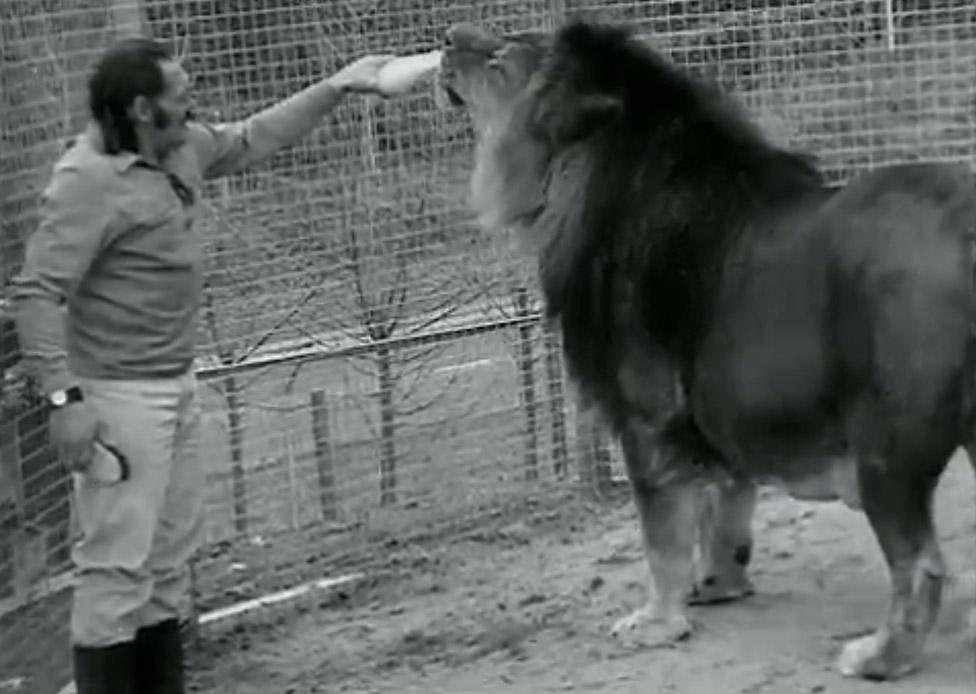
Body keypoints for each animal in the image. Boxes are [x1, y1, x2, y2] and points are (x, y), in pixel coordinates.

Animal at [438, 17, 976, 684]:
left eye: (503, 57)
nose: (447, 37)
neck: (590, 182)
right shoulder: (722, 411)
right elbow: (723, 510)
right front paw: (719, 584)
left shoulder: (645, 422)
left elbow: (661, 537)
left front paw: (657, 622)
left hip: (885, 446)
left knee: (919, 566)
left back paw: (878, 656)